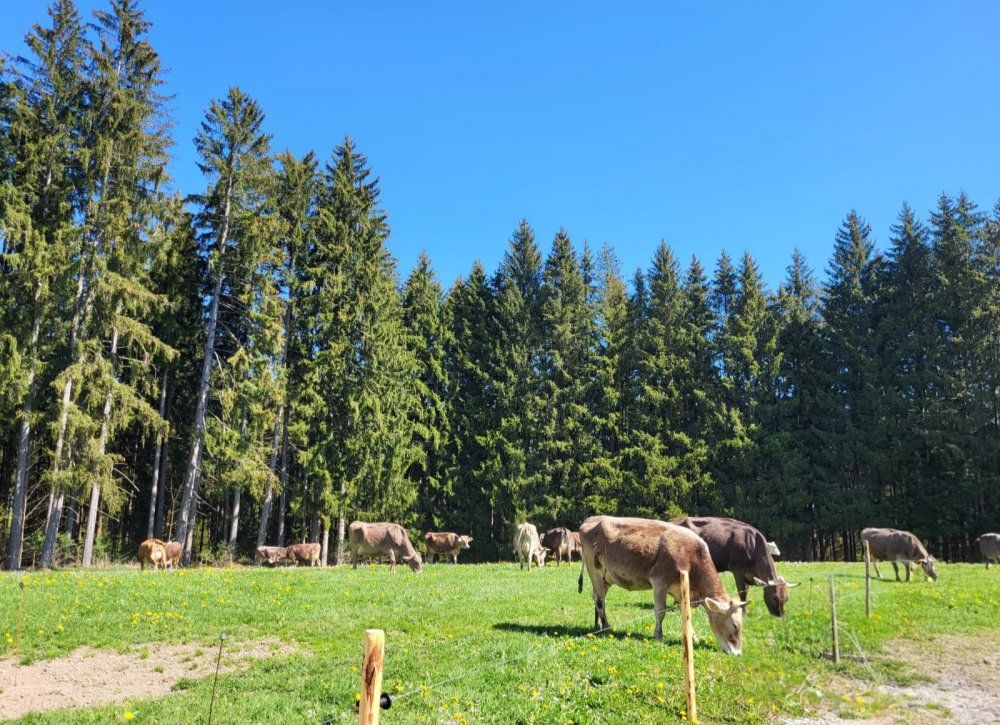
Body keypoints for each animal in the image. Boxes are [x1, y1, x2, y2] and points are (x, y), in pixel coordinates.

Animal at [578, 516, 747, 654]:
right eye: (735, 626)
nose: (738, 653)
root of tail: (592, 519)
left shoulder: (681, 591)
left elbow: (686, 615)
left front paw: (693, 637)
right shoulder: (659, 582)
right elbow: (660, 611)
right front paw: (658, 635)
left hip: (605, 577)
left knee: (597, 598)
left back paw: (598, 625)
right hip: (595, 571)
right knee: (600, 600)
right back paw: (606, 628)